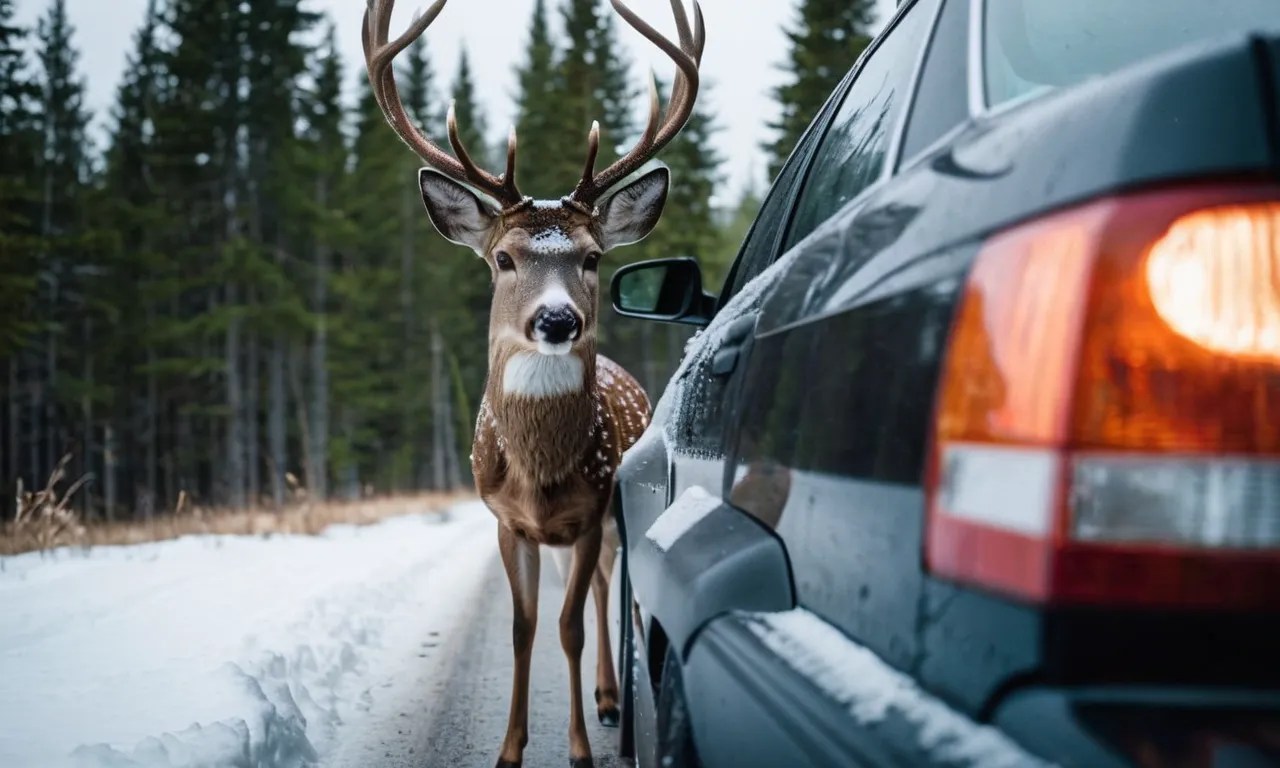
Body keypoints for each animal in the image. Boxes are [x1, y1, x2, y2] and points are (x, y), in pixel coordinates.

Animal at [361, 1, 705, 765]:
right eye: (504, 259)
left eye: (593, 256)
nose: (557, 318)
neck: (538, 474)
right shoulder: (505, 520)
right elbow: (524, 630)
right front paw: (510, 749)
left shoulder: (590, 509)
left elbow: (569, 625)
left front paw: (577, 747)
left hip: (611, 520)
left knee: (605, 588)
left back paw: (608, 698)